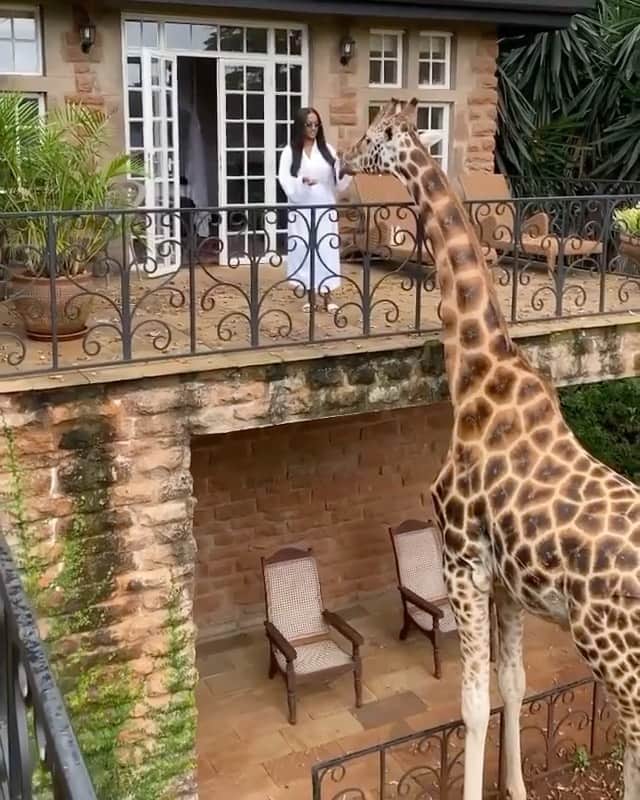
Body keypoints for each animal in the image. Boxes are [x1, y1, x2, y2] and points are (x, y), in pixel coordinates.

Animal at [340, 98, 640, 800]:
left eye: (373, 136)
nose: (342, 159)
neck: (476, 372)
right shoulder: (506, 581)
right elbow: (514, 685)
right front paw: (519, 787)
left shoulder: (461, 559)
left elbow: (472, 702)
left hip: (616, 653)